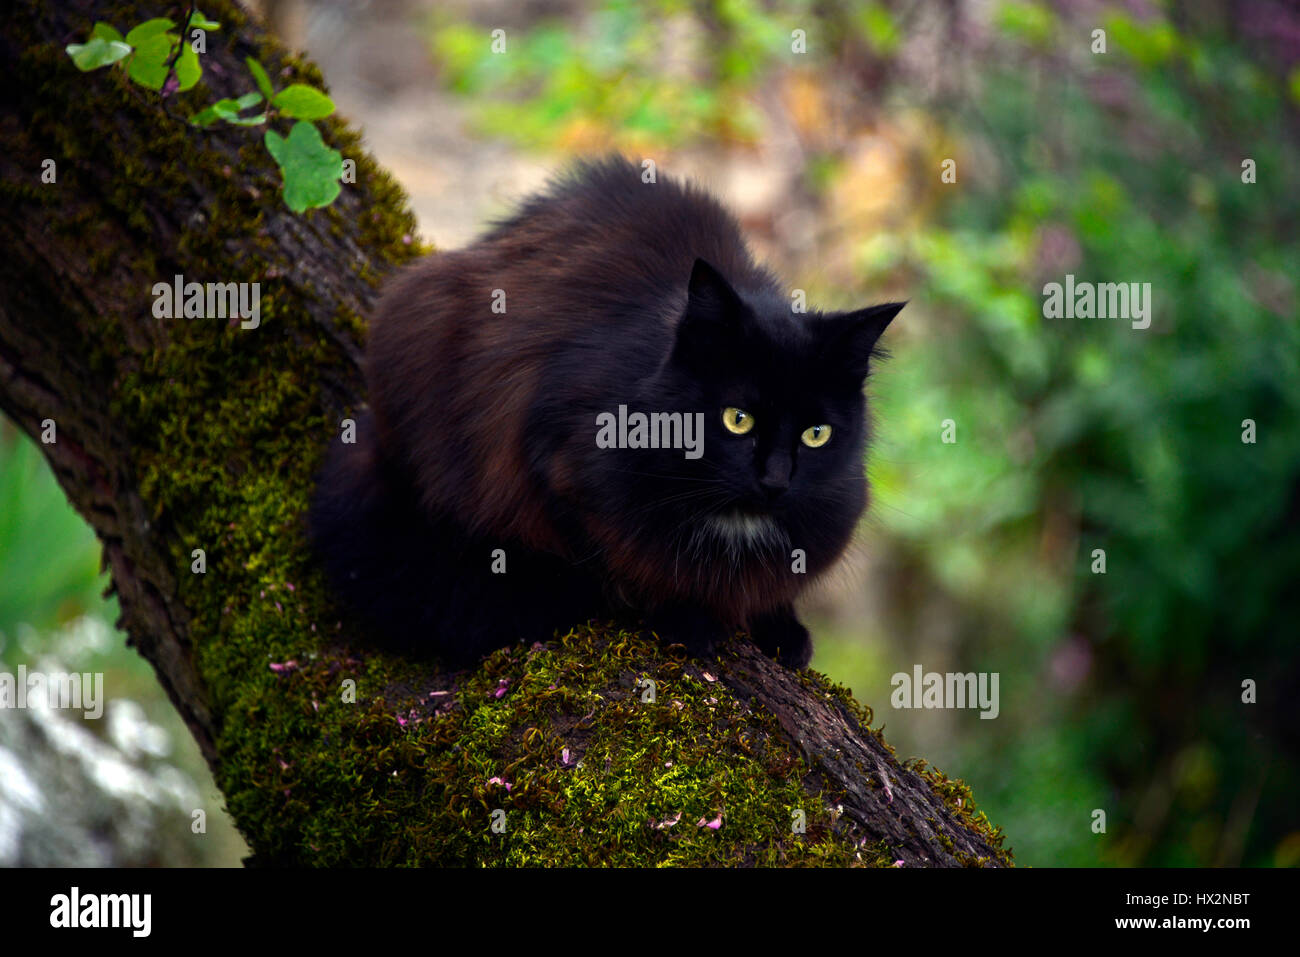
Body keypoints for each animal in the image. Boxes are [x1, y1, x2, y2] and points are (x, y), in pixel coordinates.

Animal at [310, 155, 904, 665]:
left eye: (816, 434)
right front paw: (687, 617)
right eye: (738, 419)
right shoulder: (552, 459)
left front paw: (780, 625)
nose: (776, 481)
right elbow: (618, 565)